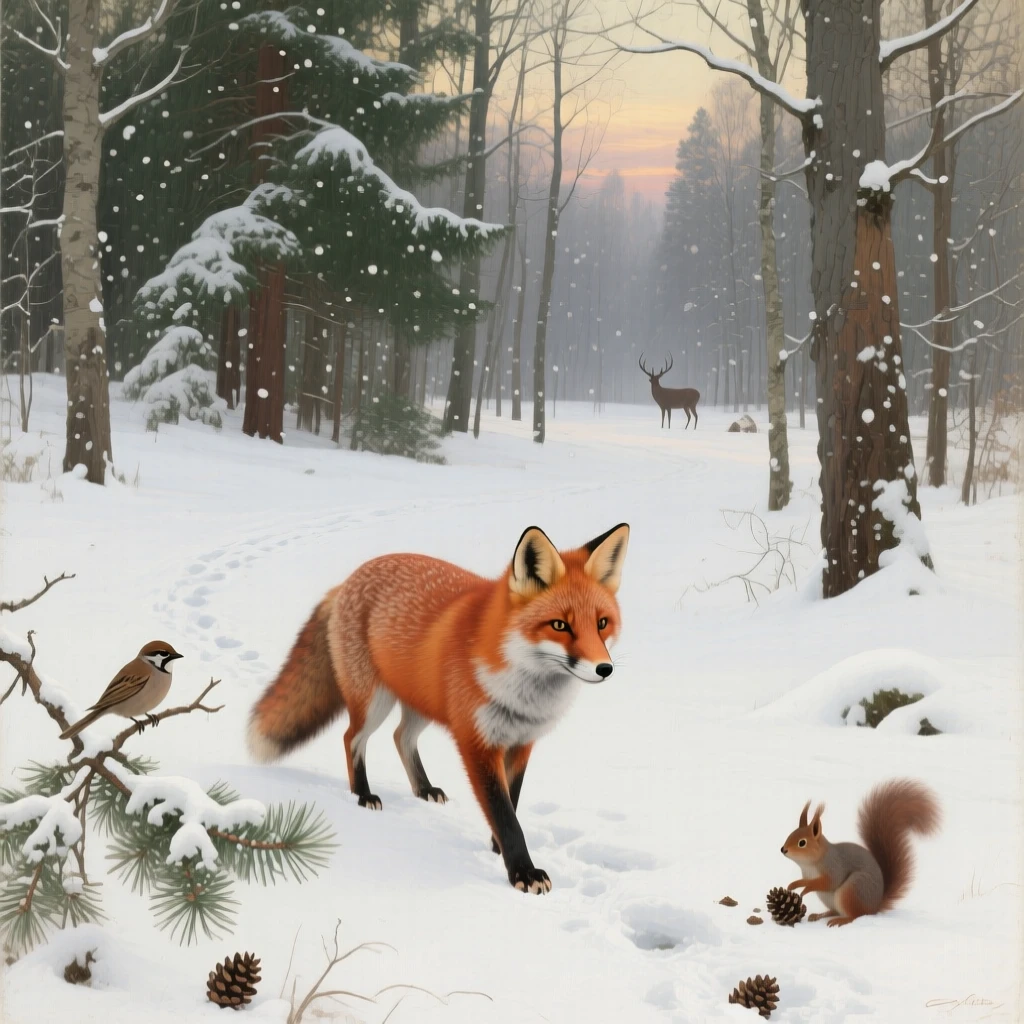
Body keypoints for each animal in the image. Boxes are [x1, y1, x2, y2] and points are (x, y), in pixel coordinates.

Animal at [246, 522, 630, 894]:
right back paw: (363, 794)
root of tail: (347, 580)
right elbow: (505, 815)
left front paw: (497, 848)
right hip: (374, 702)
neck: (523, 691)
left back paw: (423, 789)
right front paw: (522, 871)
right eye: (560, 625)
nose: (605, 669)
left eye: (602, 623)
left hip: (422, 704)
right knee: (352, 738)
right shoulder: (477, 742)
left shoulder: (522, 742)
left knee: (400, 736)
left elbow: (513, 803)